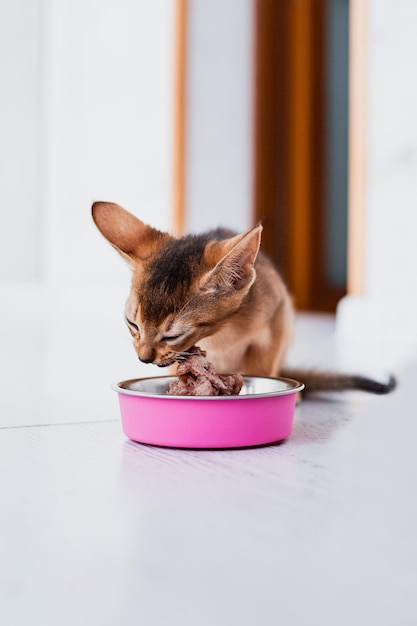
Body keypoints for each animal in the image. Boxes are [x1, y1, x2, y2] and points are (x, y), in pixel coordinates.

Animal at [91, 202, 394, 392]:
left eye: (173, 335)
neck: (219, 337)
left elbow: (263, 369)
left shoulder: (278, 318)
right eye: (132, 324)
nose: (143, 358)